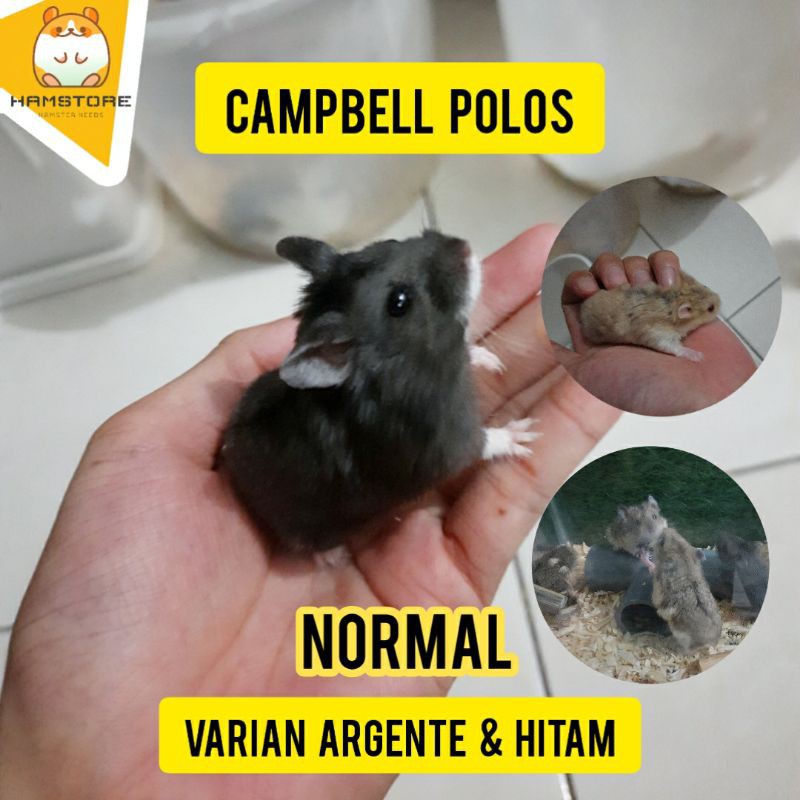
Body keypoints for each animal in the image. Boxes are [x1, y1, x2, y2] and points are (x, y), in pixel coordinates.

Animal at [221, 231, 537, 552]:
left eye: (392, 242)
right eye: (399, 301)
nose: (465, 246)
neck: (413, 361)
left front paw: (489, 360)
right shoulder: (446, 442)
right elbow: (481, 444)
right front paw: (521, 436)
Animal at [579, 272, 720, 361]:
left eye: (706, 286)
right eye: (711, 308)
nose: (721, 301)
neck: (670, 303)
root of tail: (582, 309)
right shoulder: (660, 336)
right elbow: (675, 347)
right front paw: (699, 356)